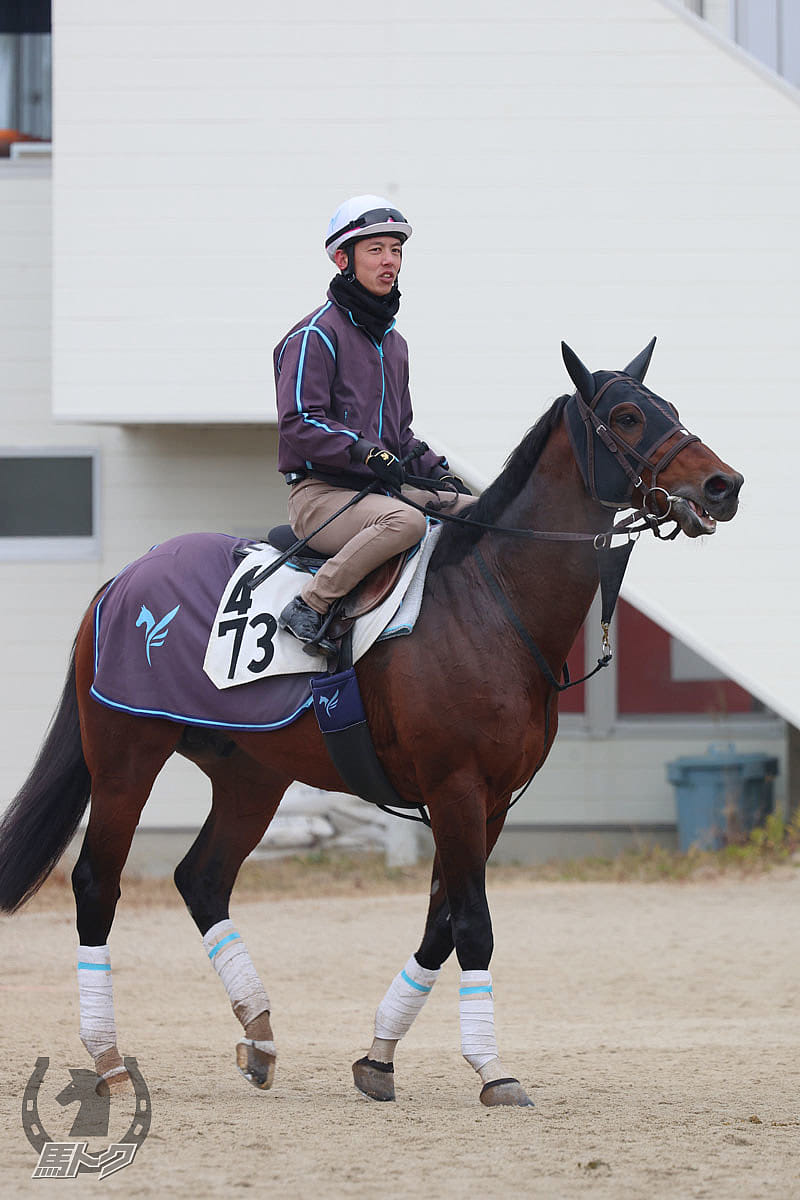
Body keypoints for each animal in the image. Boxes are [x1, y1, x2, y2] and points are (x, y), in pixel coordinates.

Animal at [0, 338, 743, 1104]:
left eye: (670, 407)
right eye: (627, 417)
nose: (725, 484)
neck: (491, 602)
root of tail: (123, 580)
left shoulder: (492, 801)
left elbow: (441, 925)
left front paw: (380, 1055)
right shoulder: (455, 789)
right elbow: (472, 925)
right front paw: (492, 1068)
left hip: (250, 777)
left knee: (202, 878)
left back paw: (258, 1035)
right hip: (125, 758)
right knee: (97, 883)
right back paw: (109, 1058)